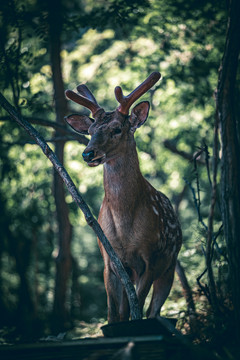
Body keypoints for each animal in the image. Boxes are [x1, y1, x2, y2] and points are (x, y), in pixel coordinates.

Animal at [64, 72, 181, 324]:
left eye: (117, 129)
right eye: (90, 131)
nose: (87, 153)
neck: (124, 223)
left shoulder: (151, 258)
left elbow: (135, 312)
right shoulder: (110, 260)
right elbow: (114, 314)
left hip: (170, 265)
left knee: (154, 311)